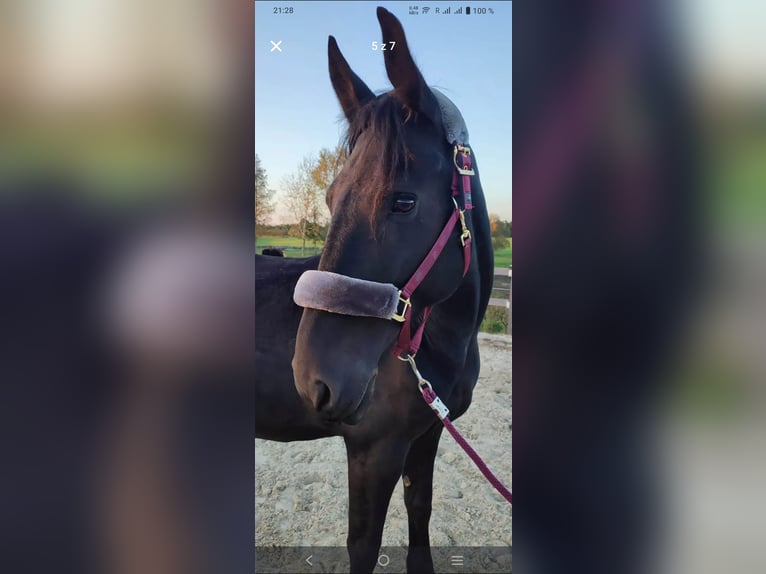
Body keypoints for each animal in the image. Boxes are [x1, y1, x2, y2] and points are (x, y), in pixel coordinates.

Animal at [255, 7, 496, 573]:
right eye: (329, 197)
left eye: (403, 202)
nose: (314, 382)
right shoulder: (373, 450)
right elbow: (363, 545)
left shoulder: (428, 434)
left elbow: (420, 509)